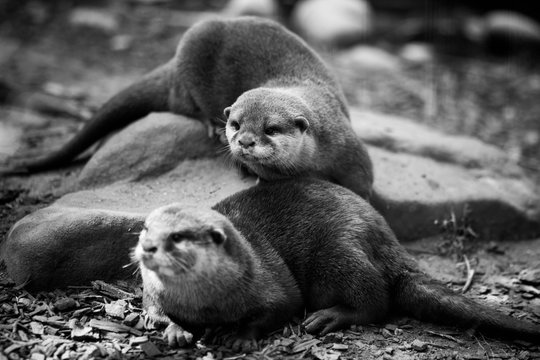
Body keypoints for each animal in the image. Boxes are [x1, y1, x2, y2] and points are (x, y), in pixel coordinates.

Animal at [8, 17, 374, 200]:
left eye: (270, 128)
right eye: (237, 124)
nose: (244, 141)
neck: (315, 156)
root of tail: (174, 63)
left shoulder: (350, 149)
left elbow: (362, 186)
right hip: (190, 58)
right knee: (183, 104)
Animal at [134, 179, 540, 350]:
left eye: (178, 236)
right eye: (146, 228)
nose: (148, 246)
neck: (207, 306)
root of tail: (389, 240)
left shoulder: (269, 281)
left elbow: (282, 305)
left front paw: (239, 335)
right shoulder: (153, 291)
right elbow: (152, 309)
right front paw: (175, 330)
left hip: (340, 250)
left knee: (376, 301)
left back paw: (329, 317)